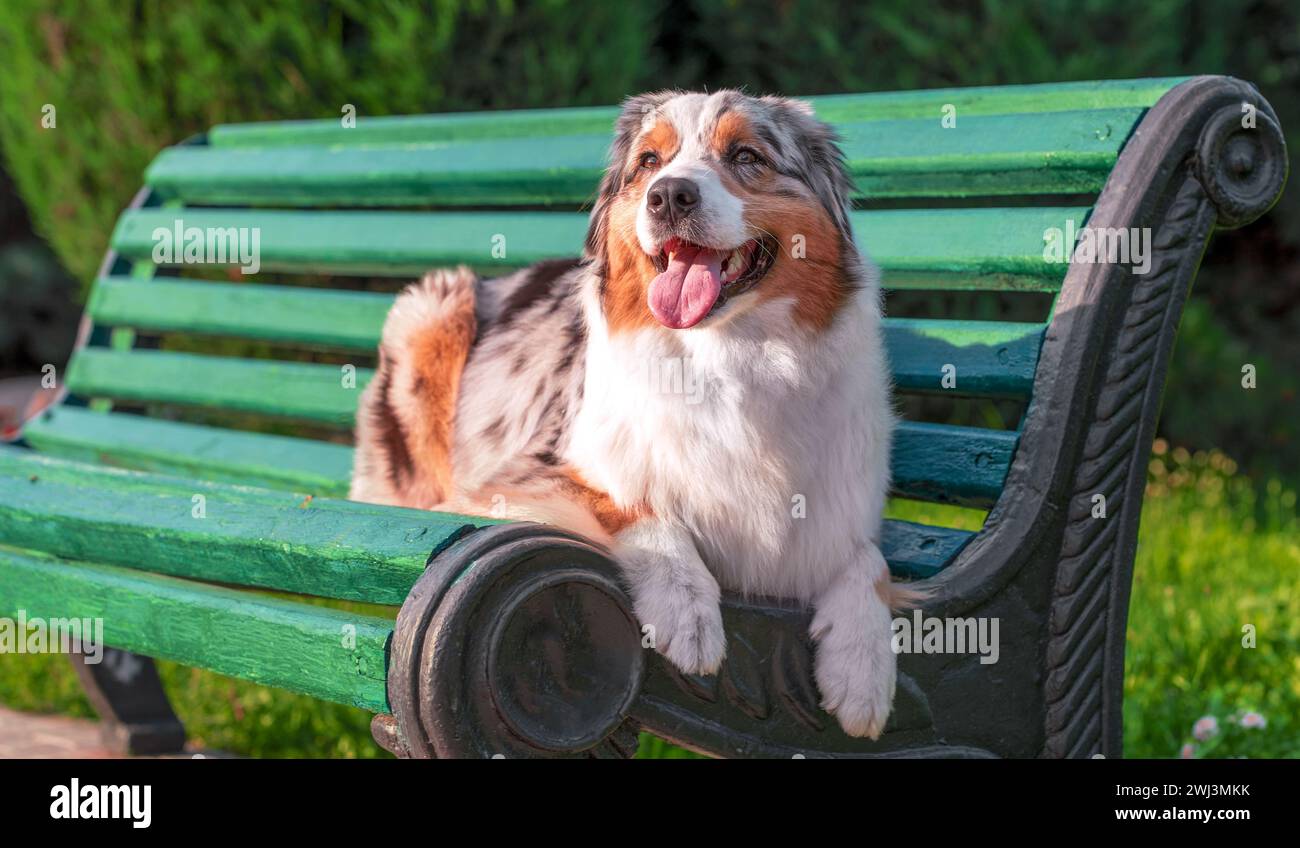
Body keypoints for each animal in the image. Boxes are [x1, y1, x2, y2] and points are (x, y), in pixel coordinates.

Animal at [351, 89, 909, 738]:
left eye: (747, 155)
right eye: (648, 162)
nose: (668, 195)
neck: (726, 359)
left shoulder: (842, 511)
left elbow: (867, 563)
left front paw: (864, 672)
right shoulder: (522, 473)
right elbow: (638, 503)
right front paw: (688, 615)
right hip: (434, 308)